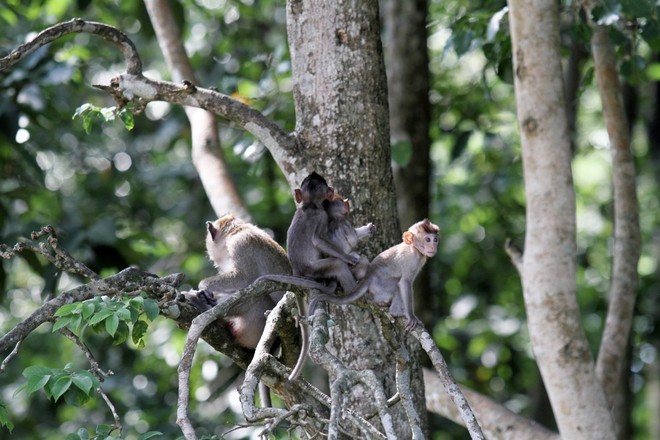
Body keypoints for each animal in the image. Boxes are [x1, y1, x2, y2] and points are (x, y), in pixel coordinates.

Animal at [308, 218, 440, 332]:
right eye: (428, 239)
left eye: (435, 239)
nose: (433, 246)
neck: (414, 248)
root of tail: (369, 276)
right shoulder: (412, 260)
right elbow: (404, 283)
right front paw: (411, 316)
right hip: (380, 286)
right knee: (397, 285)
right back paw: (396, 312)